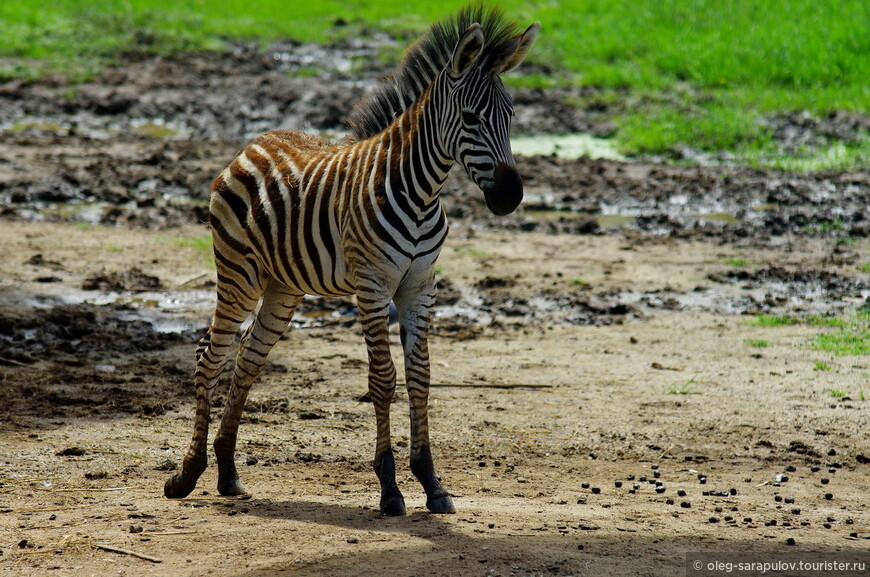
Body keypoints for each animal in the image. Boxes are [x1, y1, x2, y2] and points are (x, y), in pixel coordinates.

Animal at [164, 6, 540, 516]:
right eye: (469, 117)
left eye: (511, 117)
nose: (510, 197)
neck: (422, 191)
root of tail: (255, 140)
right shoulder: (372, 285)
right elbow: (383, 379)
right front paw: (390, 488)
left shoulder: (420, 286)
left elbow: (420, 377)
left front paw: (432, 483)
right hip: (239, 274)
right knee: (211, 355)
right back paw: (187, 474)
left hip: (283, 288)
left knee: (247, 361)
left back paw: (227, 473)